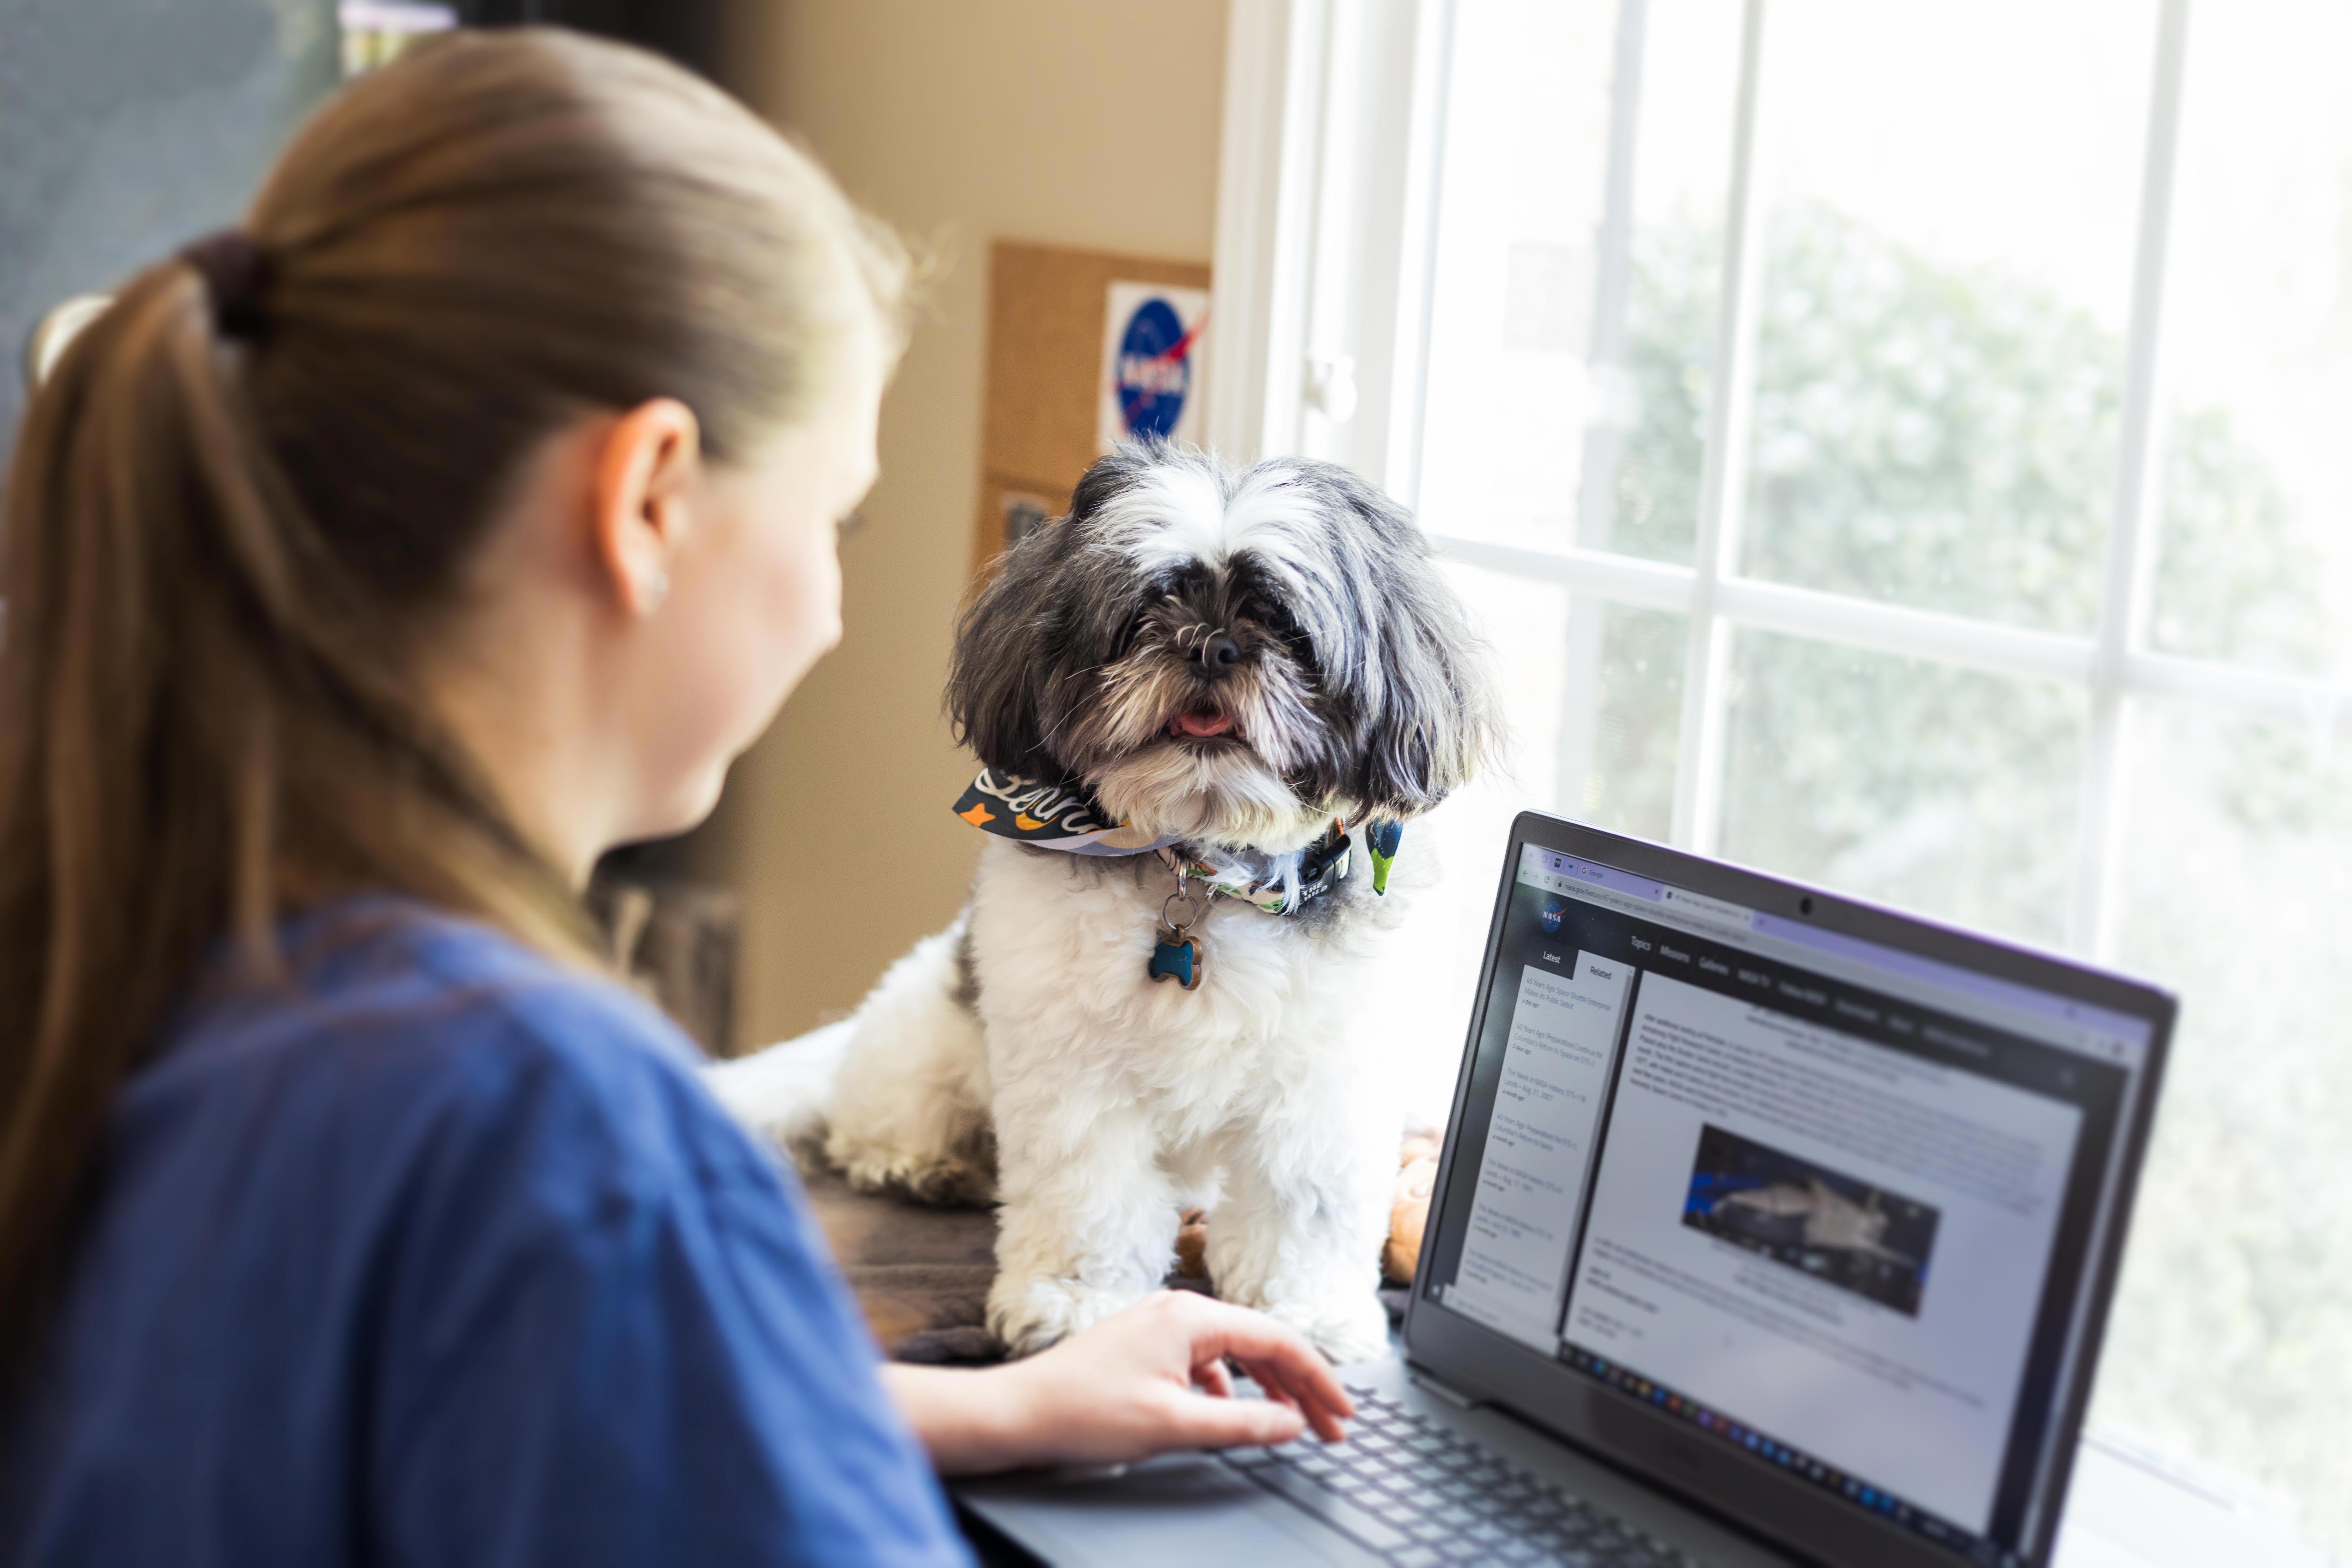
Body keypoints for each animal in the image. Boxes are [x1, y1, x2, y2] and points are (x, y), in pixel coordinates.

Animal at [818, 442, 1496, 1363]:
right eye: (1145, 612)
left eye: (1280, 623)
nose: (1209, 646)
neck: (1209, 868)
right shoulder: (1074, 1079)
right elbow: (1088, 1200)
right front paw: (1076, 1301)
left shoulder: (1324, 1085)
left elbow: (1305, 1206)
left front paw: (1306, 1310)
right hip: (928, 1028)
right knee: (887, 1107)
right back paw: (915, 1161)